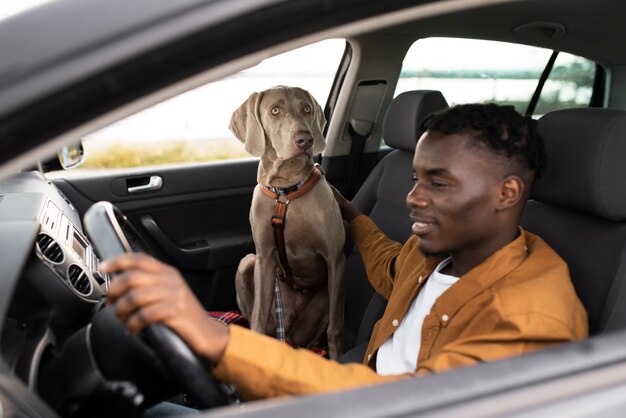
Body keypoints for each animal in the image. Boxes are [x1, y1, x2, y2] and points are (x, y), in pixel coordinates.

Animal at [230, 85, 346, 360]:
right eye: (275, 111)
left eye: (306, 108)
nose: (305, 139)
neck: (286, 193)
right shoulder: (264, 257)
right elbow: (258, 317)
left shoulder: (335, 259)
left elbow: (335, 329)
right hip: (247, 264)